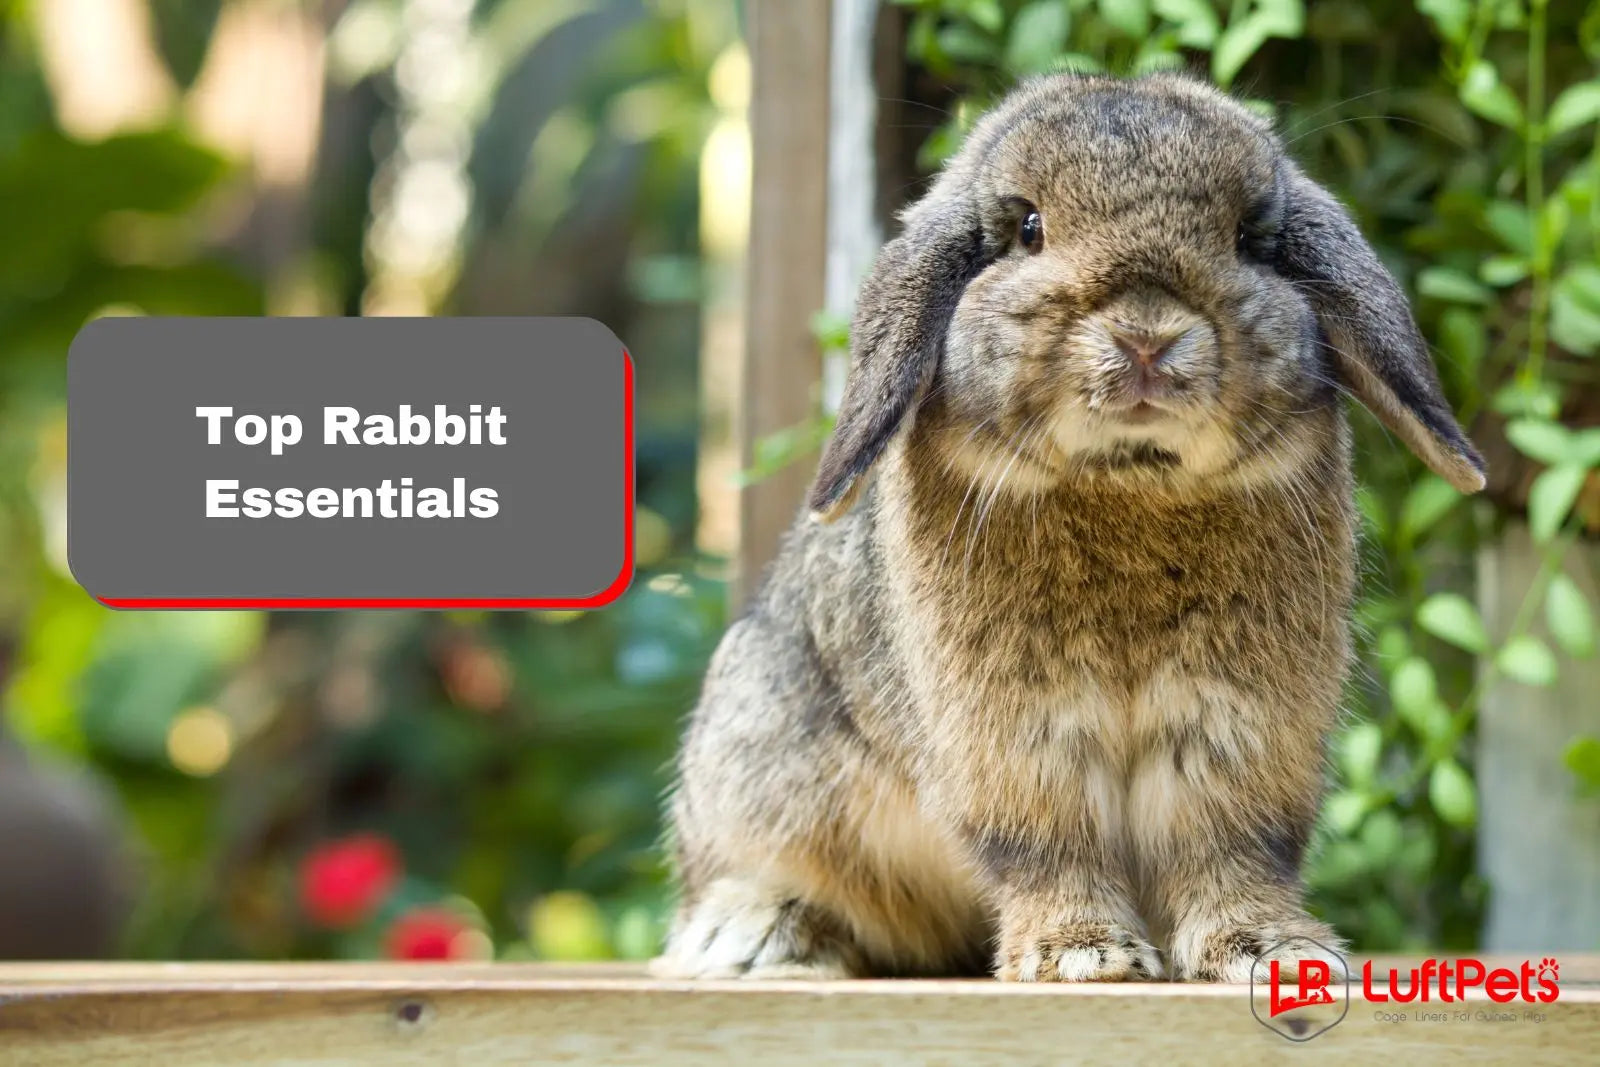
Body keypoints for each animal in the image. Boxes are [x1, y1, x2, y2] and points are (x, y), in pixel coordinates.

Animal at [655, 72, 1485, 984]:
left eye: (1248, 238)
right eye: (1028, 227)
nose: (1147, 336)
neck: (1127, 485)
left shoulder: (1239, 730)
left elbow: (1231, 845)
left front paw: (1271, 950)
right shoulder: (1015, 738)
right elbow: (1047, 846)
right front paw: (1083, 954)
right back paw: (757, 935)